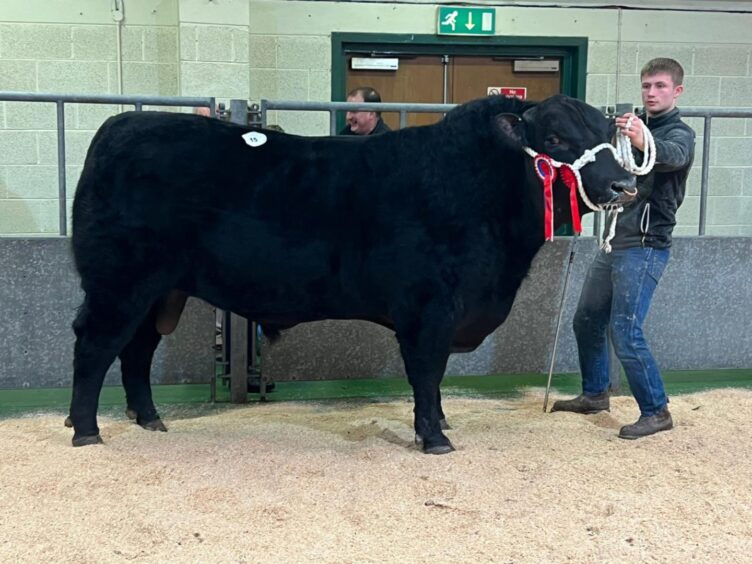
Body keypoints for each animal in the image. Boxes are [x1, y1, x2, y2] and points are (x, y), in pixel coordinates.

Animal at [67, 92, 636, 454]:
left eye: (608, 132)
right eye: (556, 137)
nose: (624, 186)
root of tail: (119, 126)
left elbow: (435, 378)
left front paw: (439, 422)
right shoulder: (430, 308)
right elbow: (426, 373)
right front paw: (434, 437)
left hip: (159, 291)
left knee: (136, 351)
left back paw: (149, 419)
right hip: (118, 284)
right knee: (95, 346)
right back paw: (85, 430)